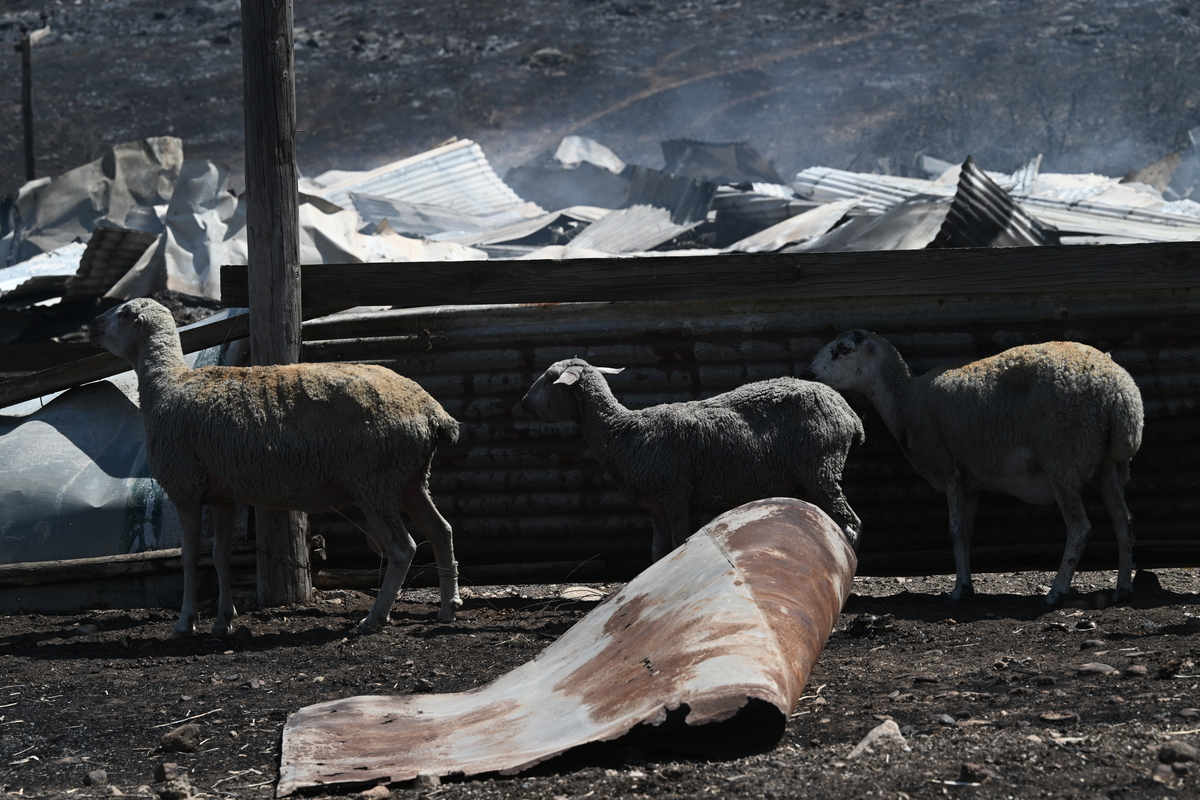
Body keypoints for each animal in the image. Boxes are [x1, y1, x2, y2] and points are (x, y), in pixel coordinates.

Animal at [87, 298, 463, 638]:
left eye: (124, 313)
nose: (93, 327)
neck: (167, 386)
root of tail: (431, 410)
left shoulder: (185, 488)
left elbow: (189, 558)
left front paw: (185, 623)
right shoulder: (223, 497)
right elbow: (220, 556)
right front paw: (223, 621)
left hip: (375, 480)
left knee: (403, 548)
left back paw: (375, 617)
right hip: (410, 478)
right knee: (441, 531)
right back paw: (448, 606)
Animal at [516, 359, 864, 561]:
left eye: (549, 378)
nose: (522, 404)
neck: (622, 432)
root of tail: (848, 411)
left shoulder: (675, 492)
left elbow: (678, 540)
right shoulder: (654, 502)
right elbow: (658, 552)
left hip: (821, 465)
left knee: (852, 524)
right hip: (807, 475)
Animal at [806, 328, 1142, 604]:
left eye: (843, 349)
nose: (809, 372)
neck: (905, 400)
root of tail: (1120, 395)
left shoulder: (949, 468)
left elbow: (954, 531)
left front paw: (958, 591)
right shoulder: (971, 484)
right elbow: (966, 533)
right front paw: (967, 585)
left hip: (1063, 458)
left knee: (1080, 529)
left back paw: (1058, 590)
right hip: (1110, 464)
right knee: (1123, 522)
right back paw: (1123, 589)